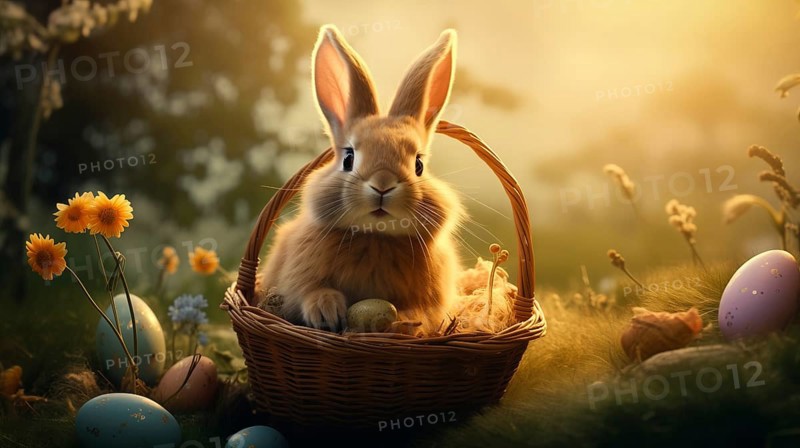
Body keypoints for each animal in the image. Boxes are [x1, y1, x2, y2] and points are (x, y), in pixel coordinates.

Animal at [259, 24, 464, 333]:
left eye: (418, 165)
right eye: (348, 158)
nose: (382, 185)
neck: (373, 236)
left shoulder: (431, 302)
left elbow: (421, 313)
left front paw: (402, 321)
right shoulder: (296, 280)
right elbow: (310, 292)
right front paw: (327, 311)